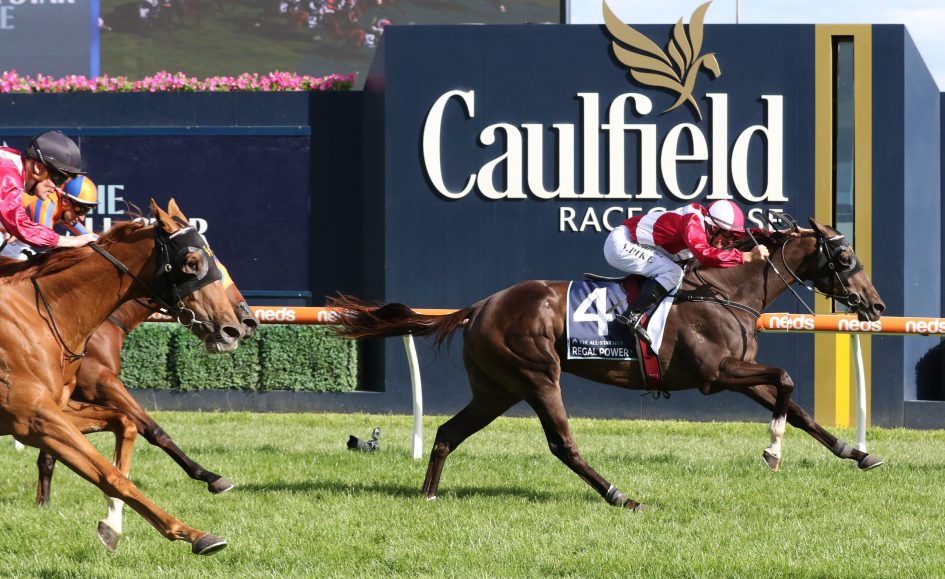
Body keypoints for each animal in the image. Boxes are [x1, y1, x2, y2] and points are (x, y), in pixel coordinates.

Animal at [0, 199, 242, 554]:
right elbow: (113, 470)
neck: (41, 313)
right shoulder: (33, 415)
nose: (235, 327)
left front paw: (112, 522)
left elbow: (126, 427)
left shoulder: (57, 404)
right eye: (192, 263)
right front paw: (196, 534)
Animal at [329, 218, 886, 510]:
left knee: (448, 431)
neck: (726, 291)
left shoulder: (738, 372)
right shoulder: (715, 375)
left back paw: (428, 494)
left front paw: (857, 453)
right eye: (845, 259)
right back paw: (621, 495)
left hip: (496, 388)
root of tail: (479, 305)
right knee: (562, 444)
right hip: (536, 376)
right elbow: (787, 381)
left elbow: (798, 408)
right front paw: (772, 451)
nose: (876, 306)